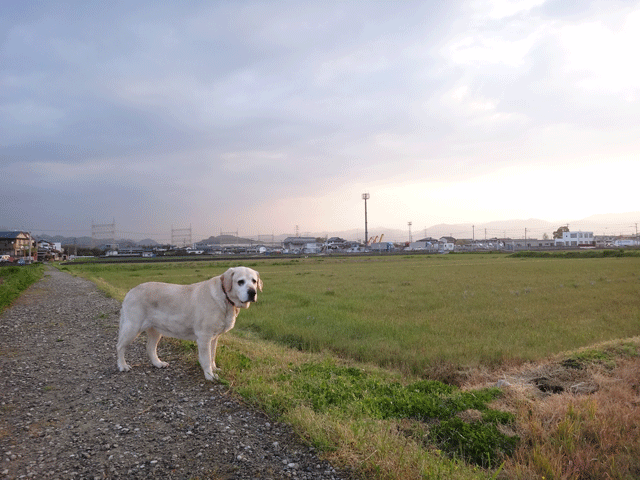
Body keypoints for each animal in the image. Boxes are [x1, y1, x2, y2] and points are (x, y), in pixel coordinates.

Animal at [116, 264, 262, 380]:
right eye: (240, 282)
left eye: (254, 281)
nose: (252, 292)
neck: (225, 299)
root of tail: (130, 291)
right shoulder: (204, 337)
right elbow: (206, 358)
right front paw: (210, 375)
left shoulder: (214, 337)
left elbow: (212, 356)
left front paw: (214, 369)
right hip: (132, 327)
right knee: (120, 346)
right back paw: (122, 366)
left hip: (155, 330)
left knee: (150, 347)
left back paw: (158, 363)